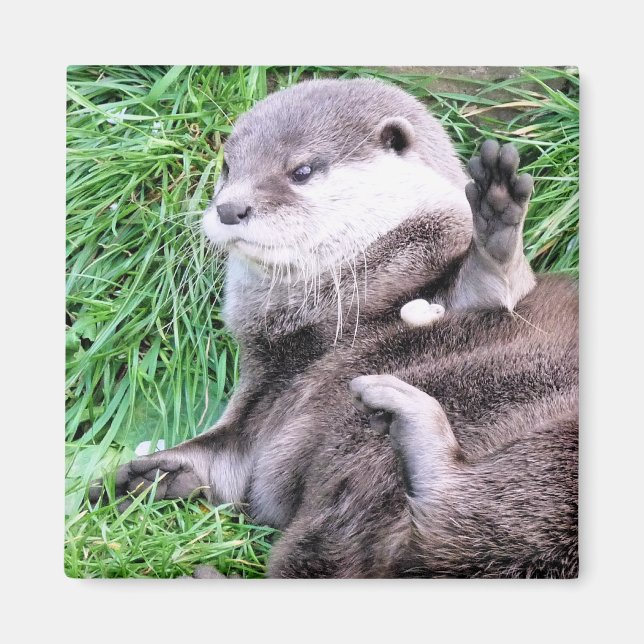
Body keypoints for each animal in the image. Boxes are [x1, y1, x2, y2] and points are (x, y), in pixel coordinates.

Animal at [90, 79, 578, 578]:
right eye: (227, 167)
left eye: (301, 170)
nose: (230, 208)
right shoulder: (265, 394)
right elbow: (228, 459)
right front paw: (150, 475)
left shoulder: (453, 291)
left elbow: (496, 284)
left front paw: (497, 215)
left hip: (557, 453)